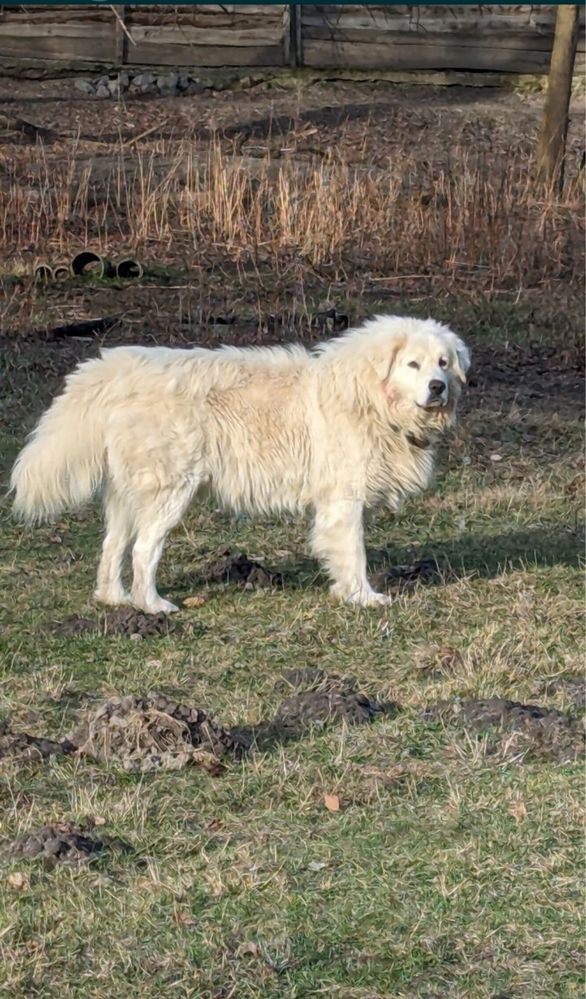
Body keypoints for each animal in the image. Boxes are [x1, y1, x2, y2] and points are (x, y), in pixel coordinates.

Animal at [11, 314, 468, 608]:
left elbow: (344, 552)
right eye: (413, 364)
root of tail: (117, 367)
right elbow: (354, 553)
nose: (437, 387)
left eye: (443, 363)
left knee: (112, 547)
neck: (370, 396)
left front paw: (346, 592)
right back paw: (152, 606)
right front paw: (364, 598)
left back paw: (115, 599)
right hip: (170, 491)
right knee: (143, 550)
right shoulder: (343, 500)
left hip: (128, 492)